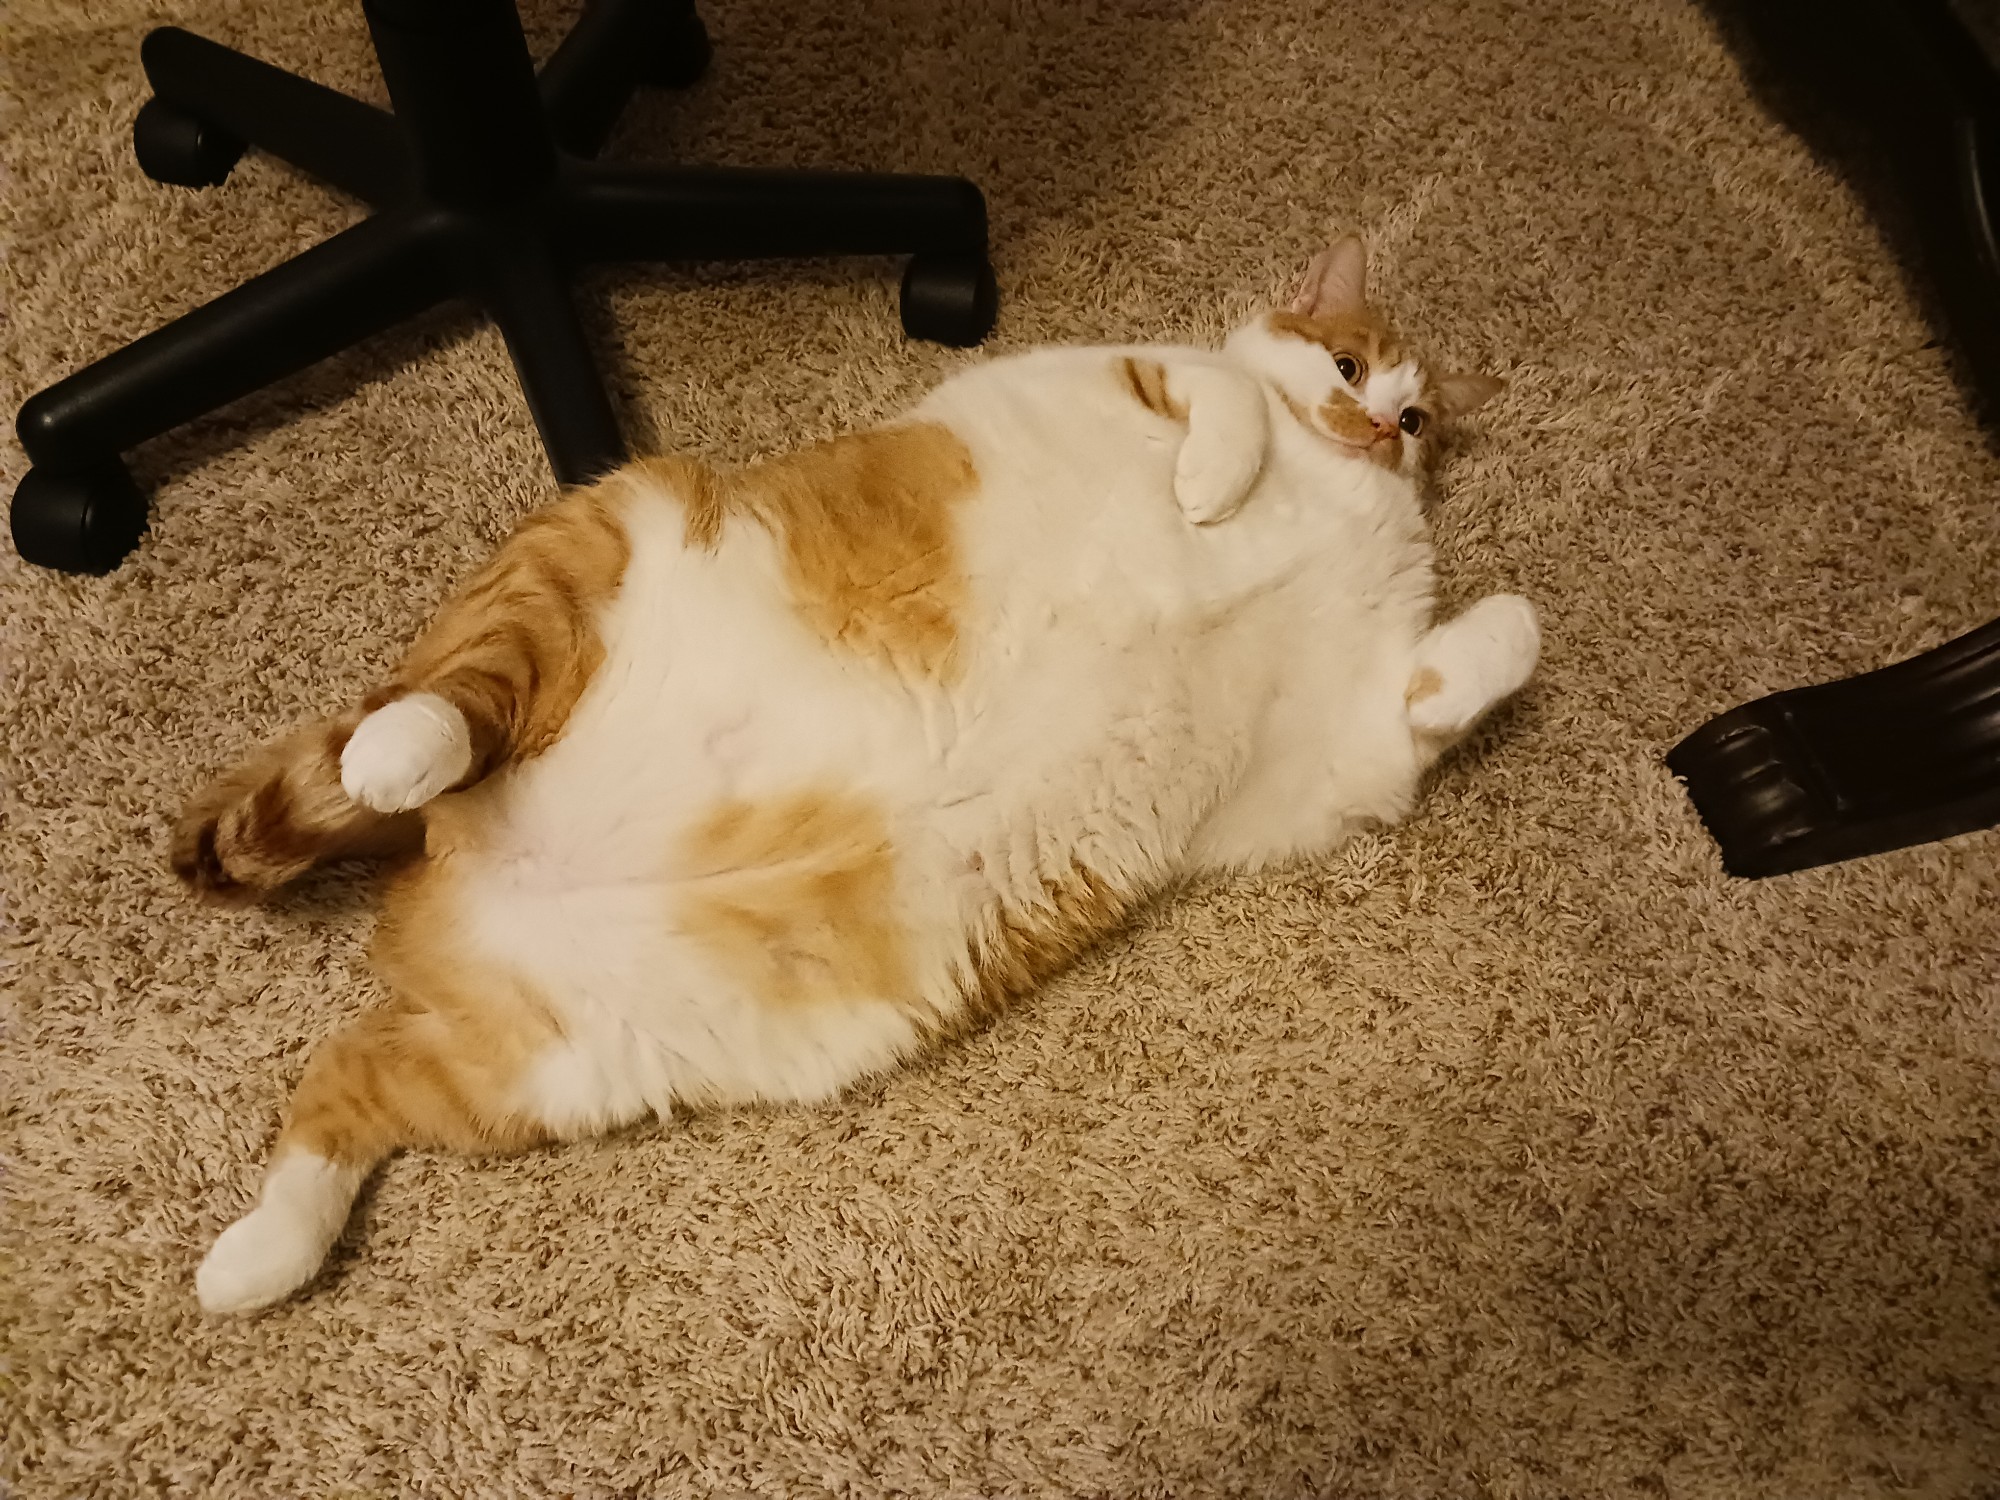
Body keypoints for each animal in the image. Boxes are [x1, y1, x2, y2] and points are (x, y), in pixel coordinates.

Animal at [172, 234, 1540, 1314]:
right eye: (1349, 369)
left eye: (1415, 421)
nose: (1371, 427)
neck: (1325, 492)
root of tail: (440, 868)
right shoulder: (1103, 371)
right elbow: (1224, 394)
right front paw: (1216, 481)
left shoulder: (1336, 748)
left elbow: (1486, 647)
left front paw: (1494, 633)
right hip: (591, 549)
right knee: (441, 709)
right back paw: (395, 756)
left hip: (544, 1069)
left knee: (343, 1077)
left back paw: (255, 1262)